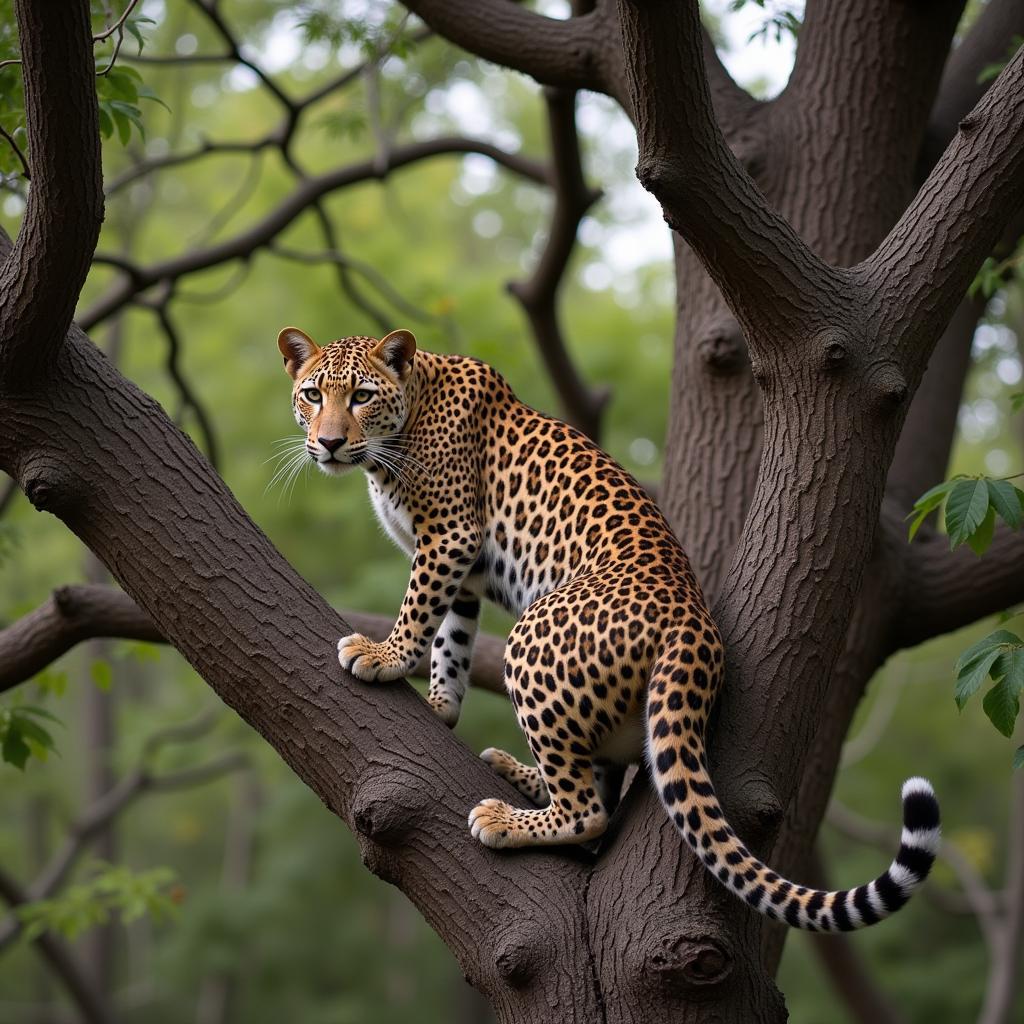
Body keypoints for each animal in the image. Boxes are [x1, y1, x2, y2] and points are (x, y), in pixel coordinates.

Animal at [276, 323, 937, 933]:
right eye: (311, 394)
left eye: (361, 396)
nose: (329, 443)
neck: (405, 415)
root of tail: (693, 621)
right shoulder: (461, 573)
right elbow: (452, 640)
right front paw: (441, 704)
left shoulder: (450, 535)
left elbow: (419, 608)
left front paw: (384, 656)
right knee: (591, 787)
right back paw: (516, 772)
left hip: (534, 636)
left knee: (587, 812)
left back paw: (503, 817)